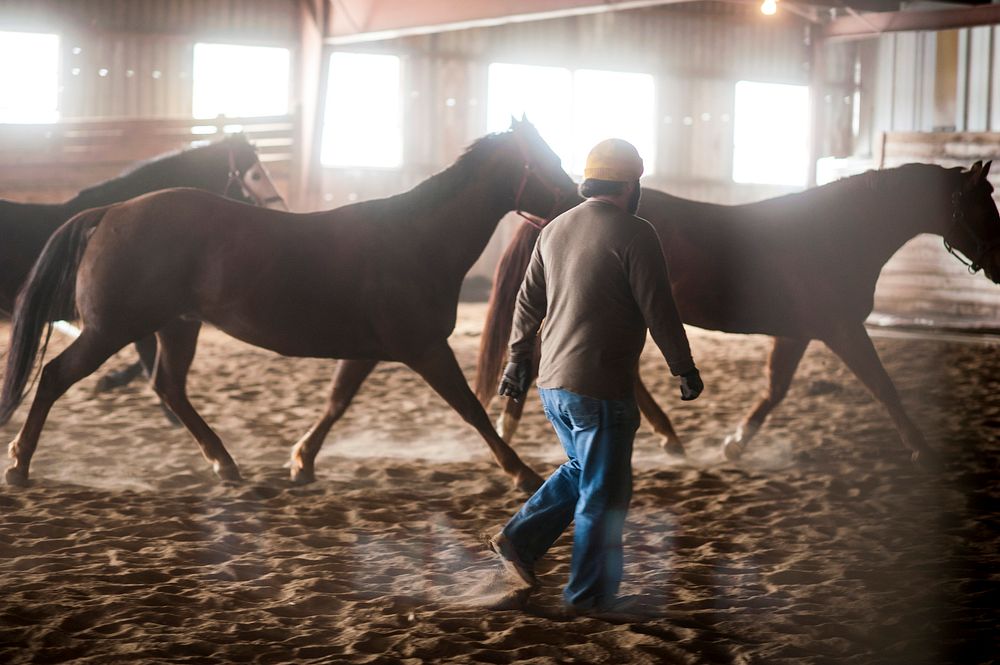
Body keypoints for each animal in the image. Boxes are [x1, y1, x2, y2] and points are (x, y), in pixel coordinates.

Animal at [0, 119, 576, 490]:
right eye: (548, 161)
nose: (580, 199)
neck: (415, 239)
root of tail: (111, 212)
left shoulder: (368, 351)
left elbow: (336, 403)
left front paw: (302, 462)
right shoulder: (426, 348)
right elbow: (472, 410)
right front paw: (522, 472)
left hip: (176, 326)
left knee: (169, 388)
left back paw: (225, 464)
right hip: (111, 330)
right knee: (55, 376)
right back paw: (20, 464)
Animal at [476, 160, 1000, 466]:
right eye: (984, 204)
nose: (999, 263)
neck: (834, 234)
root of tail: (567, 205)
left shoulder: (800, 333)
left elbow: (775, 390)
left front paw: (736, 442)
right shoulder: (842, 328)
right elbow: (883, 386)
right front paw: (924, 450)